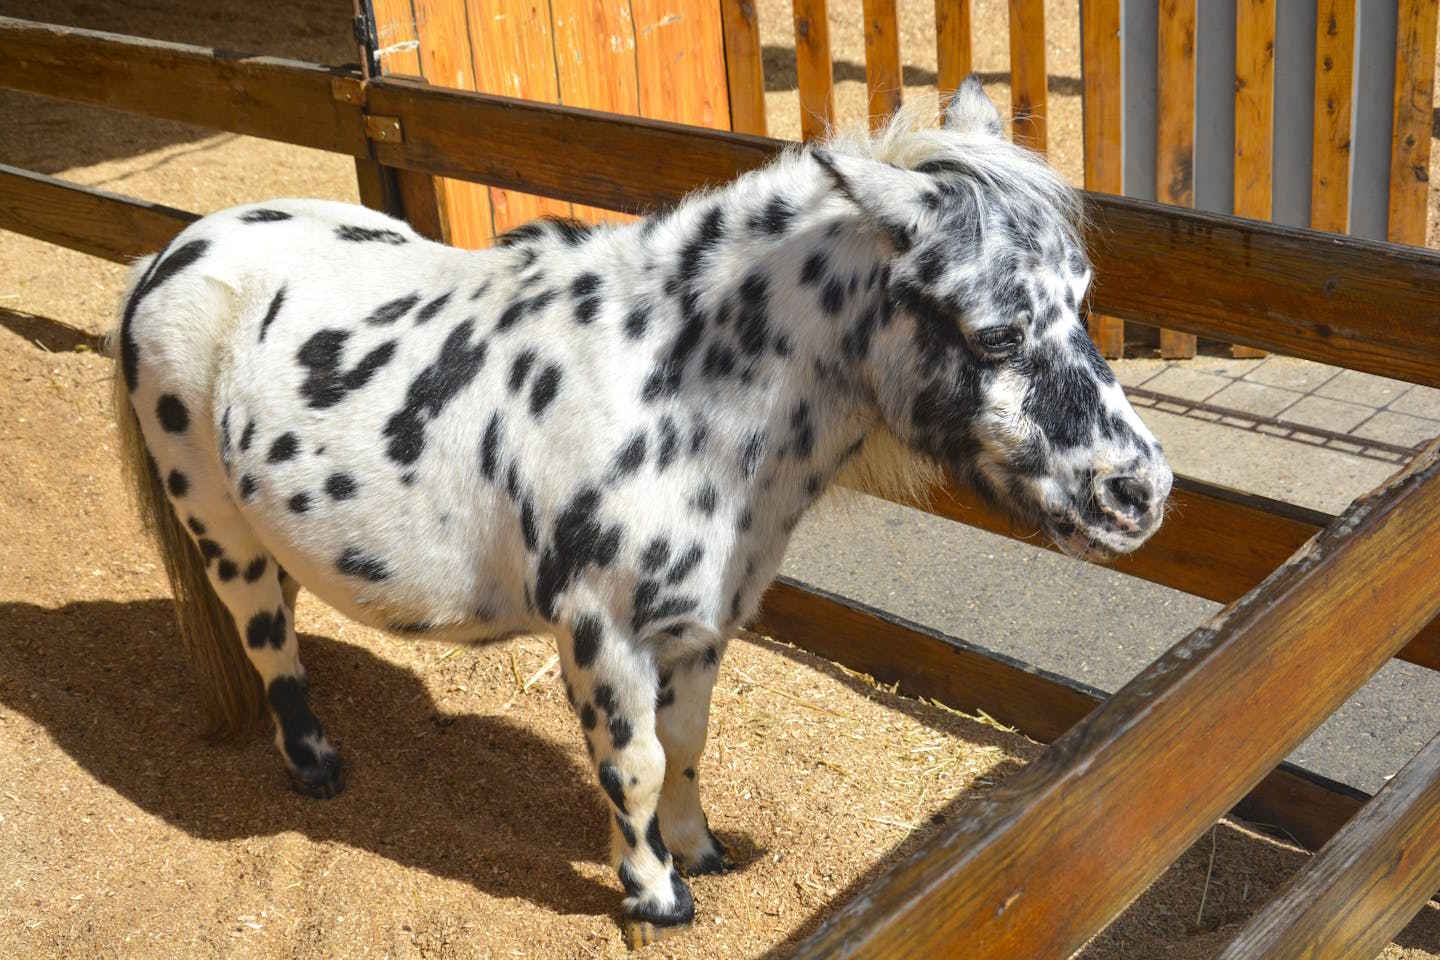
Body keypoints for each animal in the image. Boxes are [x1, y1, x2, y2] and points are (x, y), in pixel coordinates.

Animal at [109, 77, 1169, 944]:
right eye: (994, 333)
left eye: (1081, 297)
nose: (1140, 492)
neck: (671, 396)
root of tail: (172, 251)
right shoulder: (601, 632)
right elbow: (635, 766)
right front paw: (657, 896)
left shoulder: (698, 628)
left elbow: (687, 747)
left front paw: (700, 852)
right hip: (220, 532)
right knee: (264, 635)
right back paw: (315, 762)